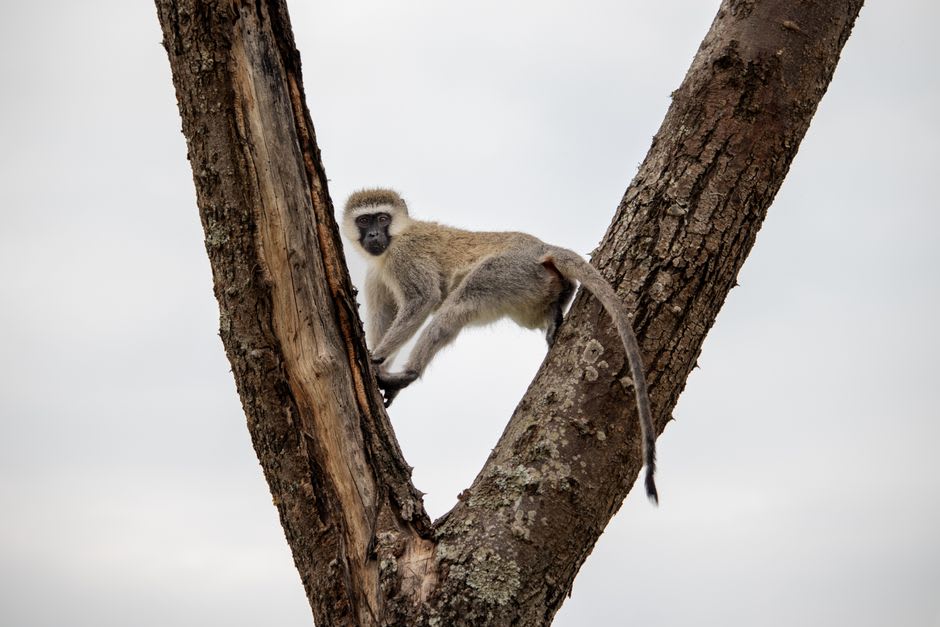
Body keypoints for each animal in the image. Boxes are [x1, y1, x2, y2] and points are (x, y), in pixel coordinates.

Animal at [341, 188, 658, 503]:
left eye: (382, 218)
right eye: (364, 220)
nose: (373, 235)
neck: (396, 238)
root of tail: (539, 247)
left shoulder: (404, 256)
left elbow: (423, 300)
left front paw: (376, 359)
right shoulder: (377, 274)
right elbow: (386, 315)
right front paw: (379, 362)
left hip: (506, 271)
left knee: (458, 305)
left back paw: (408, 375)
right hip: (529, 288)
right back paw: (560, 302)